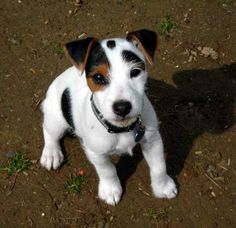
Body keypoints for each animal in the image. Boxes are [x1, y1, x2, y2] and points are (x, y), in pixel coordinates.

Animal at [40, 29, 177, 206]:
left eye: (135, 72)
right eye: (98, 78)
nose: (122, 107)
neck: (122, 128)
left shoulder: (152, 140)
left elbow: (159, 166)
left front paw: (163, 187)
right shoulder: (96, 153)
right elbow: (107, 171)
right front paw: (111, 190)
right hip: (56, 120)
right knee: (48, 131)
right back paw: (51, 153)